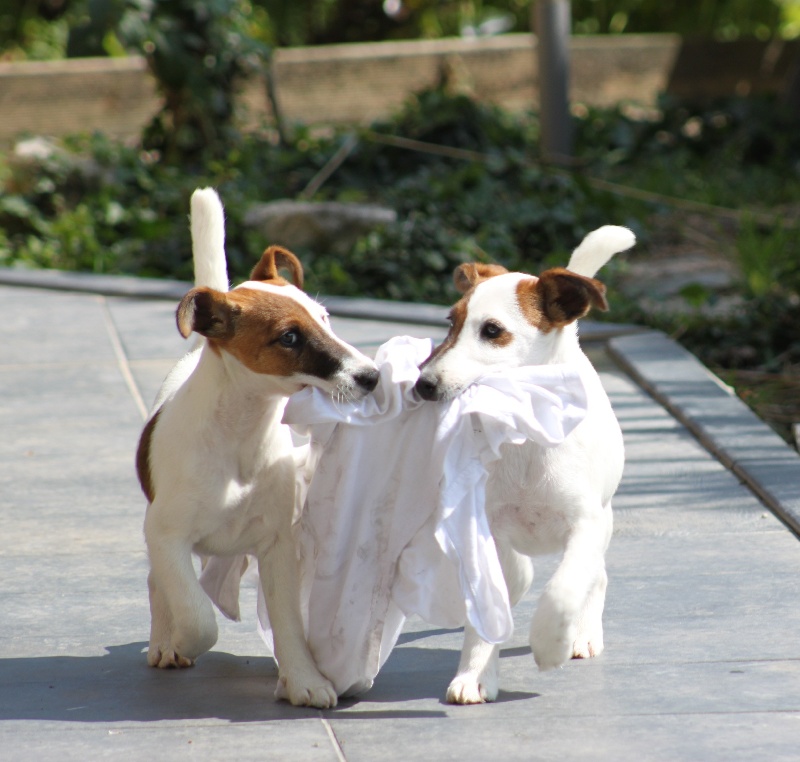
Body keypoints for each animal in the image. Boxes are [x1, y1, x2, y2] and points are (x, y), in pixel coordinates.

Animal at [136, 189, 380, 708]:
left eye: (326, 318)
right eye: (289, 337)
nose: (372, 376)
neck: (239, 436)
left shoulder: (278, 545)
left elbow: (289, 622)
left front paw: (303, 678)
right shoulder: (167, 536)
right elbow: (198, 616)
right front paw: (180, 639)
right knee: (159, 584)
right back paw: (164, 639)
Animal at [416, 224, 636, 700]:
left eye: (492, 330)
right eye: (450, 323)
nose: (422, 385)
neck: (525, 435)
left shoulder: (585, 525)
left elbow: (564, 588)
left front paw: (551, 642)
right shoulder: (487, 526)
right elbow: (491, 605)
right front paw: (476, 672)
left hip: (603, 523)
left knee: (595, 578)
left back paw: (583, 633)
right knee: (521, 576)